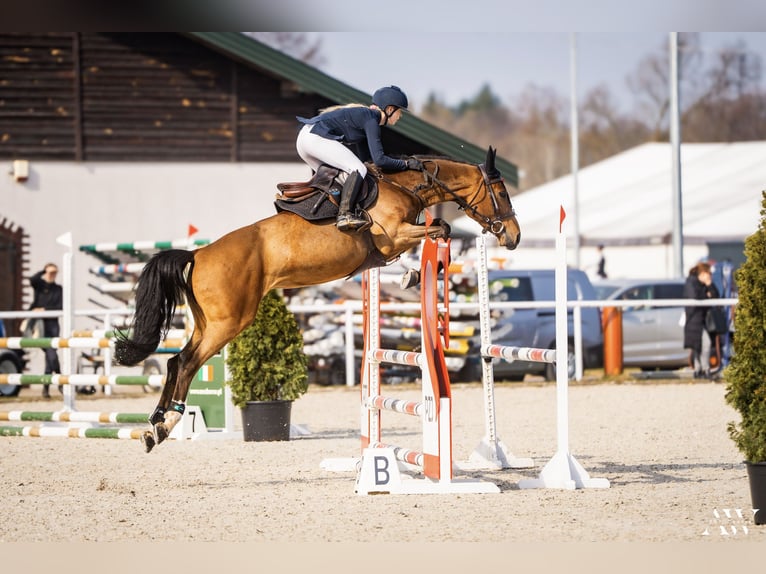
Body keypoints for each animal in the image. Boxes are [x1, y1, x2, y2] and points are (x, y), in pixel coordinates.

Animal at [115, 146, 520, 452]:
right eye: (502, 193)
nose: (514, 237)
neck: (405, 186)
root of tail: (198, 254)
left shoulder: (392, 242)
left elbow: (432, 232)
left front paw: (411, 273)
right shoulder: (395, 234)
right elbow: (440, 228)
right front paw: (416, 271)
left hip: (208, 322)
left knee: (174, 362)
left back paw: (154, 425)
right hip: (228, 323)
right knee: (185, 362)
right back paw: (167, 423)